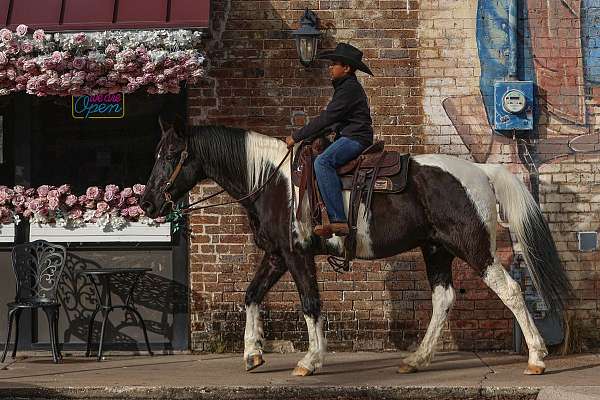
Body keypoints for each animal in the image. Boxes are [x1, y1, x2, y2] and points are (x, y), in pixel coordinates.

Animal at [139, 125, 572, 378]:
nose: (146, 203)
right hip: (436, 250)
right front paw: (252, 353)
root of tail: (482, 171)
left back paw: (536, 358)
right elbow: (251, 296)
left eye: (168, 156)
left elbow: (310, 303)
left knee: (511, 291)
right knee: (443, 299)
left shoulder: (297, 255)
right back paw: (416, 360)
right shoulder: (277, 255)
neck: (272, 182)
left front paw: (310, 360)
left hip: (473, 248)